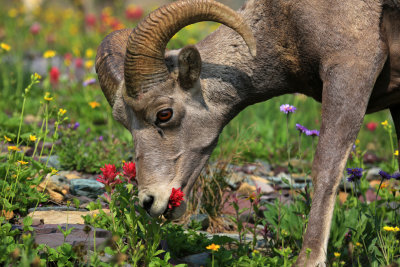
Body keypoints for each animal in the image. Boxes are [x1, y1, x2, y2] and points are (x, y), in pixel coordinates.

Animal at [97, 0, 400, 266]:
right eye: (124, 122)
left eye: (164, 113)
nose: (149, 202)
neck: (284, 19)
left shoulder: (349, 68)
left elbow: (326, 170)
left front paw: (309, 260)